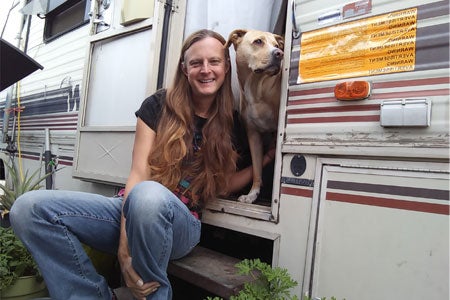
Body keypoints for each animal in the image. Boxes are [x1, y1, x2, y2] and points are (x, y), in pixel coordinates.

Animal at [227, 29, 284, 204]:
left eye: (277, 45)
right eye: (258, 41)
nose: (280, 53)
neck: (256, 86)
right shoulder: (253, 135)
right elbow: (257, 169)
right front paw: (252, 193)